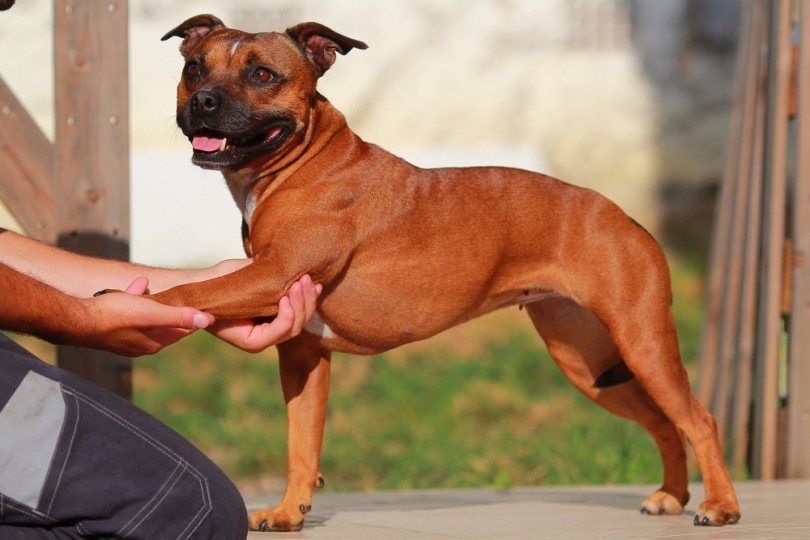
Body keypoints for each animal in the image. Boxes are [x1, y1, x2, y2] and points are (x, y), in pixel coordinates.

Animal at [155, 13, 740, 532]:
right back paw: (672, 497)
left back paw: (719, 506)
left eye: (262, 75)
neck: (298, 164)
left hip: (644, 345)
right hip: (587, 363)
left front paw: (134, 303)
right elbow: (302, 443)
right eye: (194, 69)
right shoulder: (302, 352)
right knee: (664, 421)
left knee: (699, 419)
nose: (204, 101)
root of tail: (625, 216)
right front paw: (287, 513)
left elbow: (186, 290)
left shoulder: (269, 279)